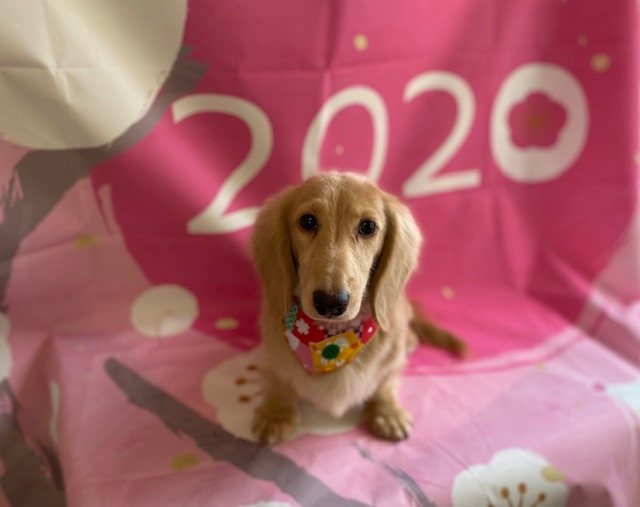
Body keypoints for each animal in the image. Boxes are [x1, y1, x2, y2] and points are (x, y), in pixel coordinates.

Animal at [250, 172, 465, 444]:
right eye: (307, 221)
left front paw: (387, 412)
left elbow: (385, 382)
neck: (331, 340)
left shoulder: (391, 362)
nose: (330, 303)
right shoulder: (271, 354)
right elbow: (278, 380)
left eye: (368, 227)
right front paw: (276, 413)